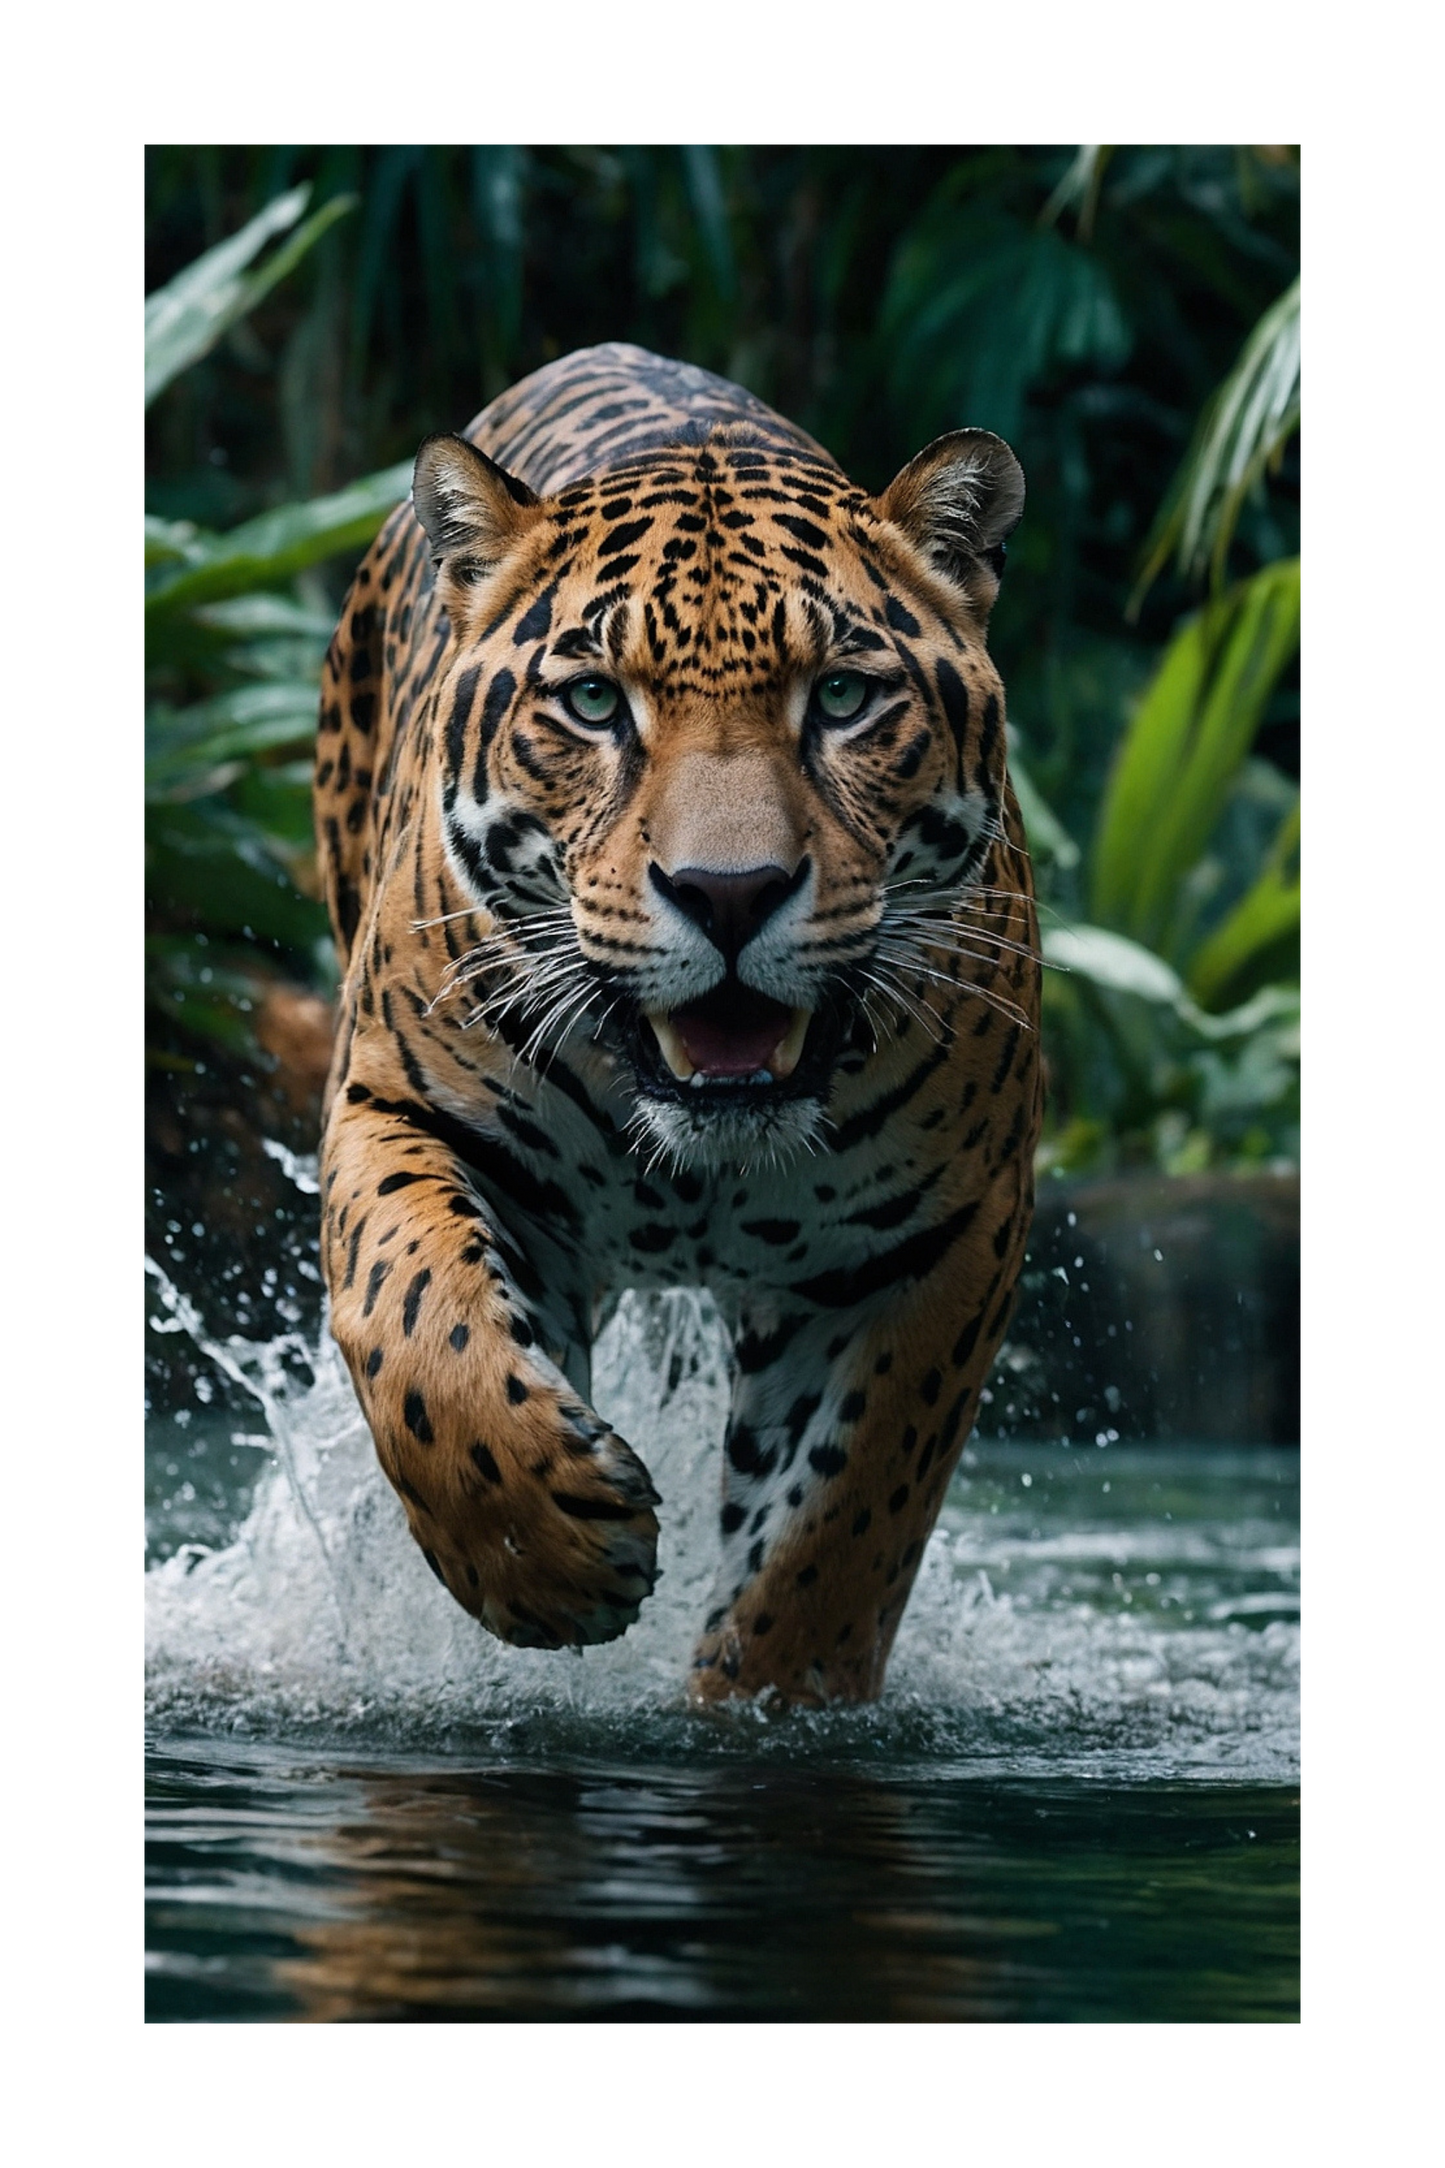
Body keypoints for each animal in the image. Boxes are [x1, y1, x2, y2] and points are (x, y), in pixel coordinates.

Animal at [314, 343, 1042, 1707]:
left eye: (843, 697)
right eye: (596, 703)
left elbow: (849, 1508)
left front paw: (775, 1695)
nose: (728, 891)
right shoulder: (400, 1104)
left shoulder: (944, 1230)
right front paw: (544, 1556)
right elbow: (422, 1332)